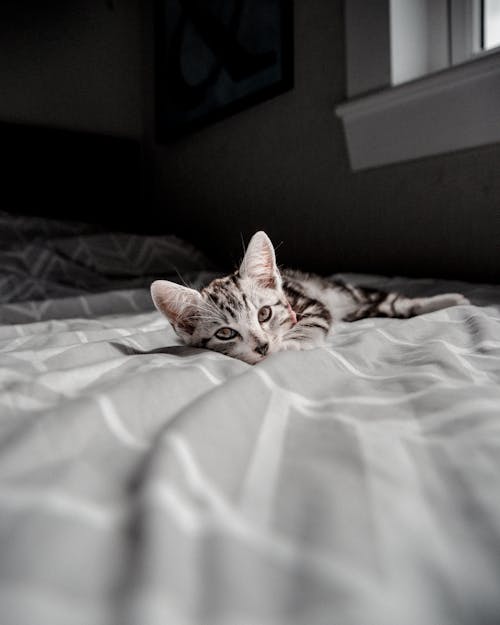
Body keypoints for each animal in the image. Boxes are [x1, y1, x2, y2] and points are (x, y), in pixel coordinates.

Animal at [151, 232, 468, 364]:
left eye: (264, 314)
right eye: (225, 333)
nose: (263, 347)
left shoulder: (311, 304)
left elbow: (311, 323)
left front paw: (293, 343)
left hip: (346, 293)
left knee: (395, 302)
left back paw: (452, 300)